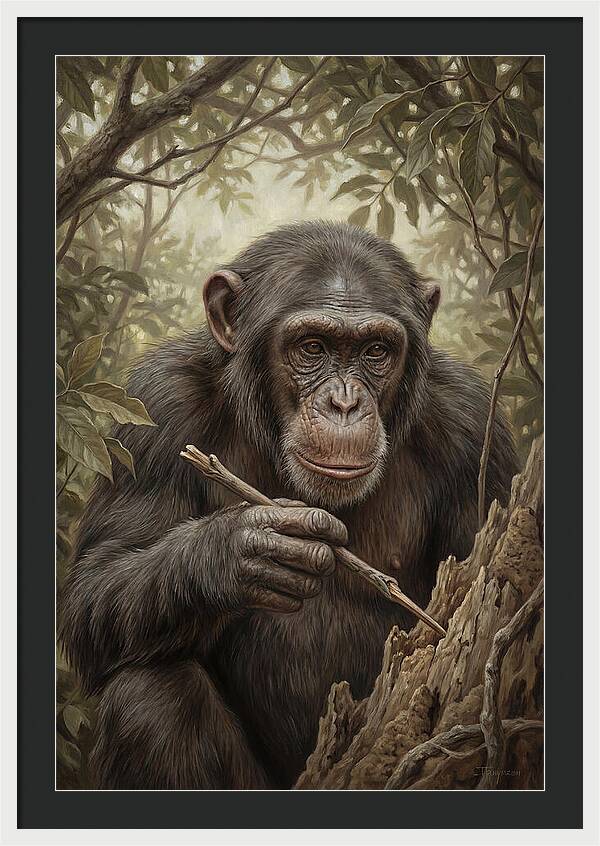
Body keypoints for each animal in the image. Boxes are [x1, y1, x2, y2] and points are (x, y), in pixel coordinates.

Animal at [59, 221, 518, 790]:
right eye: (312, 347)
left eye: (376, 352)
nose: (344, 403)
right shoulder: (157, 405)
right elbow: (95, 586)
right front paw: (242, 551)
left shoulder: (475, 430)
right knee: (149, 695)